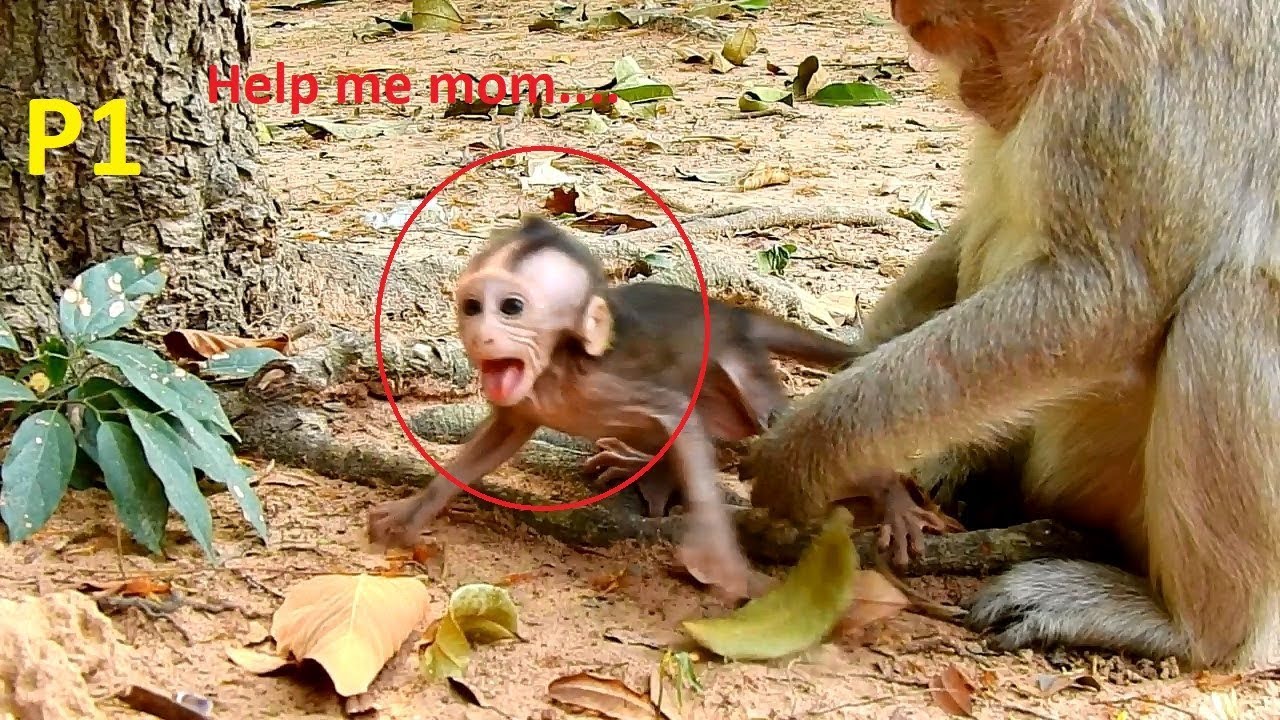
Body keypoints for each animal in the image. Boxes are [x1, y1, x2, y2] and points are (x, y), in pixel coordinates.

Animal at [366, 215, 955, 599]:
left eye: (510, 307)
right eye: (472, 306)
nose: (482, 335)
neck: (556, 369)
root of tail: (734, 314)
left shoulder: (609, 383)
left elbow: (680, 418)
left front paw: (723, 563)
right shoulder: (523, 403)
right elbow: (495, 442)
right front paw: (413, 511)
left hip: (740, 367)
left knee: (778, 426)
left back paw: (891, 498)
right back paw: (642, 466)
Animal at [739, 0, 1280, 670]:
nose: (974, 89)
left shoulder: (1131, 55)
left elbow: (1107, 297)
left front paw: (809, 448)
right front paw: (856, 351)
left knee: (1230, 302)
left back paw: (1189, 628)